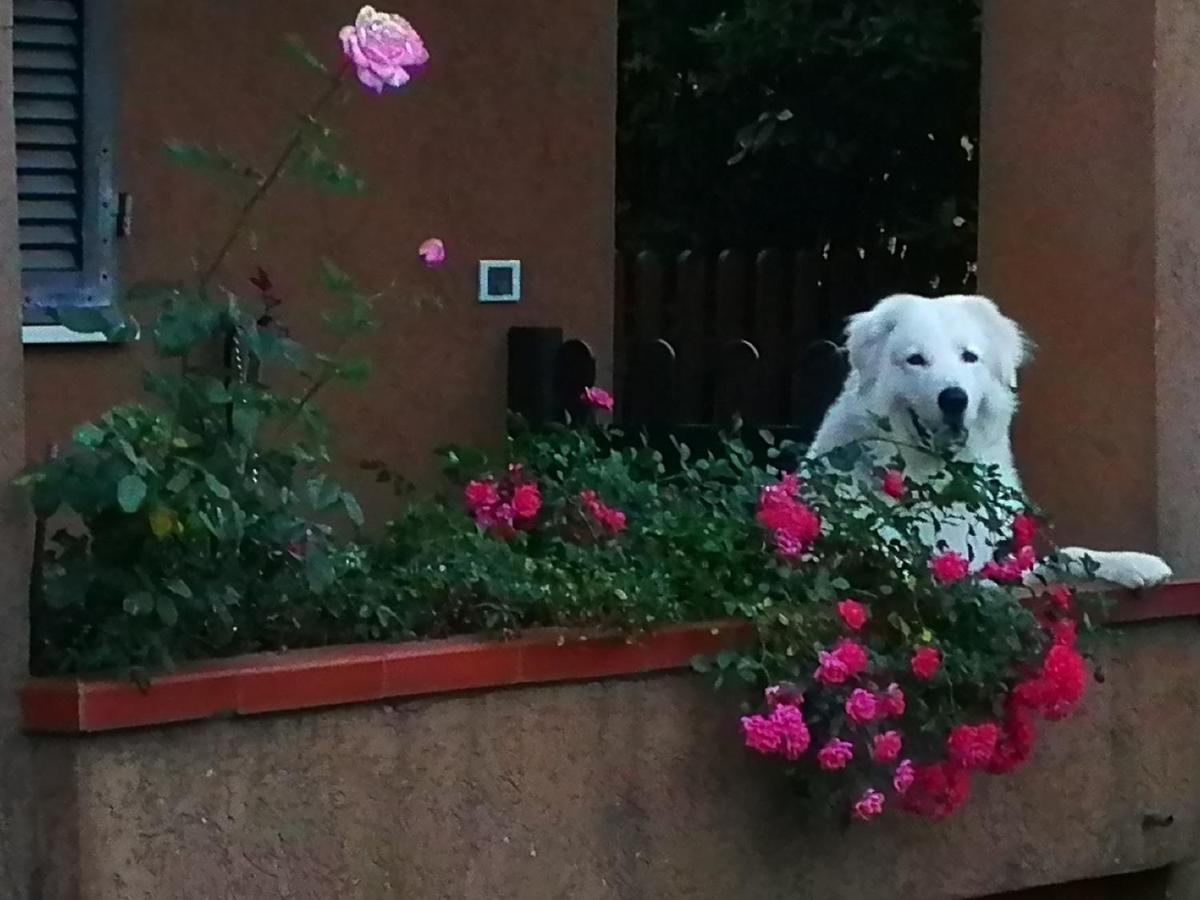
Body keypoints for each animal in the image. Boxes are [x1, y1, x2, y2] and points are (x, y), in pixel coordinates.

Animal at [806, 292, 1171, 595]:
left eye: (969, 357)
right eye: (915, 360)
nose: (954, 399)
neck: (937, 481)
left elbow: (1061, 556)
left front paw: (1134, 562)